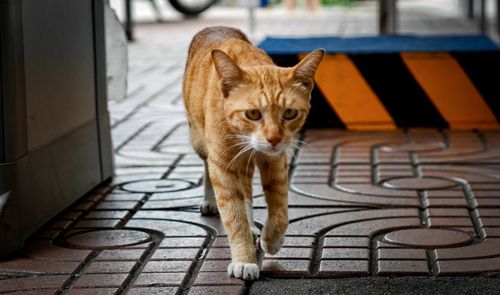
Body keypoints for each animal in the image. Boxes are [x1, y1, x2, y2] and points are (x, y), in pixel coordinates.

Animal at [184, 26, 324, 280]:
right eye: (253, 114)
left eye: (289, 113)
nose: (274, 138)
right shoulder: (222, 163)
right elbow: (233, 215)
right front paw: (244, 260)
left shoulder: (275, 160)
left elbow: (280, 209)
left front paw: (272, 240)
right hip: (199, 141)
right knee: (209, 169)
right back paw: (211, 201)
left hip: (246, 163)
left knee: (247, 192)